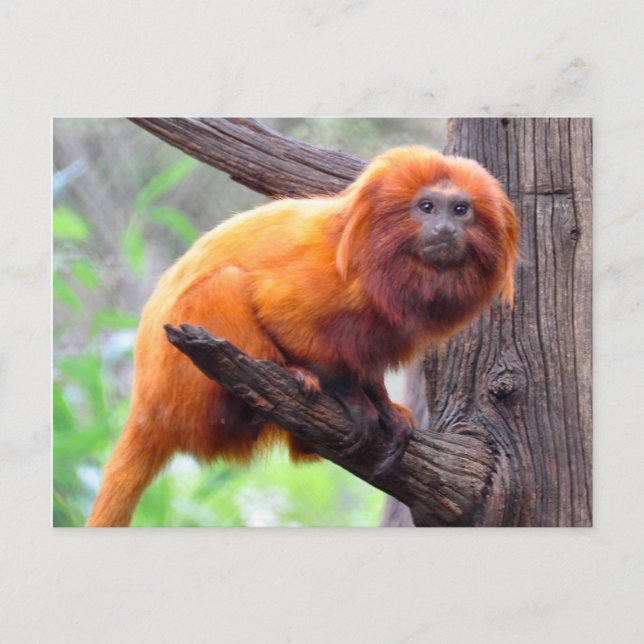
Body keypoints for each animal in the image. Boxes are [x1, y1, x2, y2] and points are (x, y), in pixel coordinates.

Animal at [87, 146, 519, 527]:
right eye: (427, 207)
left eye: (460, 210)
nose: (445, 229)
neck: (387, 263)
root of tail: (145, 407)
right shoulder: (321, 279)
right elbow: (286, 319)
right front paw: (350, 397)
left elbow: (368, 364)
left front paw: (383, 404)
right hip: (183, 383)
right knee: (226, 283)